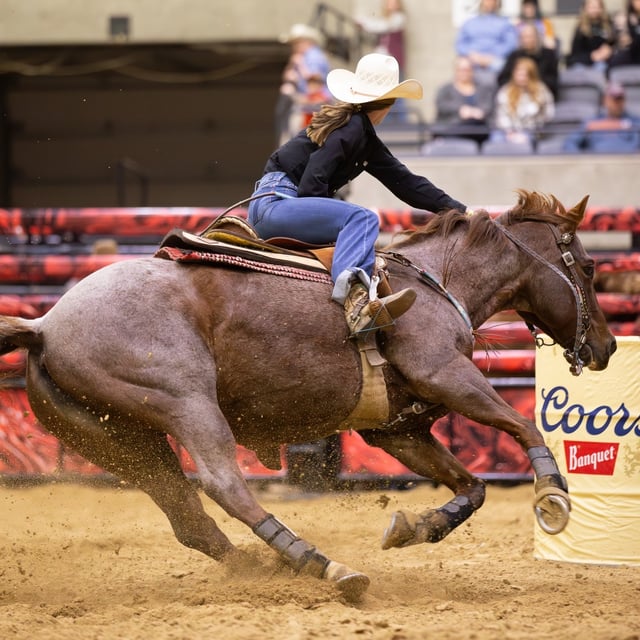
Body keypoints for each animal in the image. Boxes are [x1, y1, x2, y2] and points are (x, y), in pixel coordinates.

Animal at [0, 190, 620, 600]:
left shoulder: (397, 429)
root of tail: (45, 325)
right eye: (590, 268)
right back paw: (325, 565)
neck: (434, 282)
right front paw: (553, 496)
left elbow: (473, 486)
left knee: (188, 516)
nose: (608, 346)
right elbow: (523, 426)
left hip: (121, 442)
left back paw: (267, 567)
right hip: (186, 403)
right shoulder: (447, 373)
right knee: (224, 486)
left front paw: (415, 528)